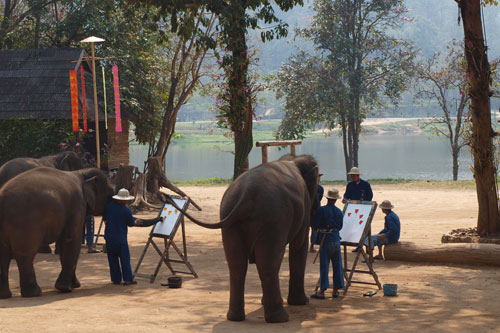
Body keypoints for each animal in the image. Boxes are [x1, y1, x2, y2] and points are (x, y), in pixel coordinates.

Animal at [0, 167, 114, 296]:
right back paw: (35, 293)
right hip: (26, 222)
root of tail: (2, 198)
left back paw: (5, 295)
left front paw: (75, 285)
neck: (82, 173)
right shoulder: (77, 206)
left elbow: (63, 244)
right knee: (25, 254)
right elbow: (71, 240)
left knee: (3, 254)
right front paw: (65, 288)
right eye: (111, 194)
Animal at [166, 154, 318, 322]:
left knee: (237, 266)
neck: (294, 159)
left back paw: (235, 317)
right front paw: (302, 302)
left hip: (230, 219)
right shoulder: (304, 205)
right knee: (267, 264)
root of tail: (247, 194)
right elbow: (299, 244)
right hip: (273, 218)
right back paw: (279, 318)